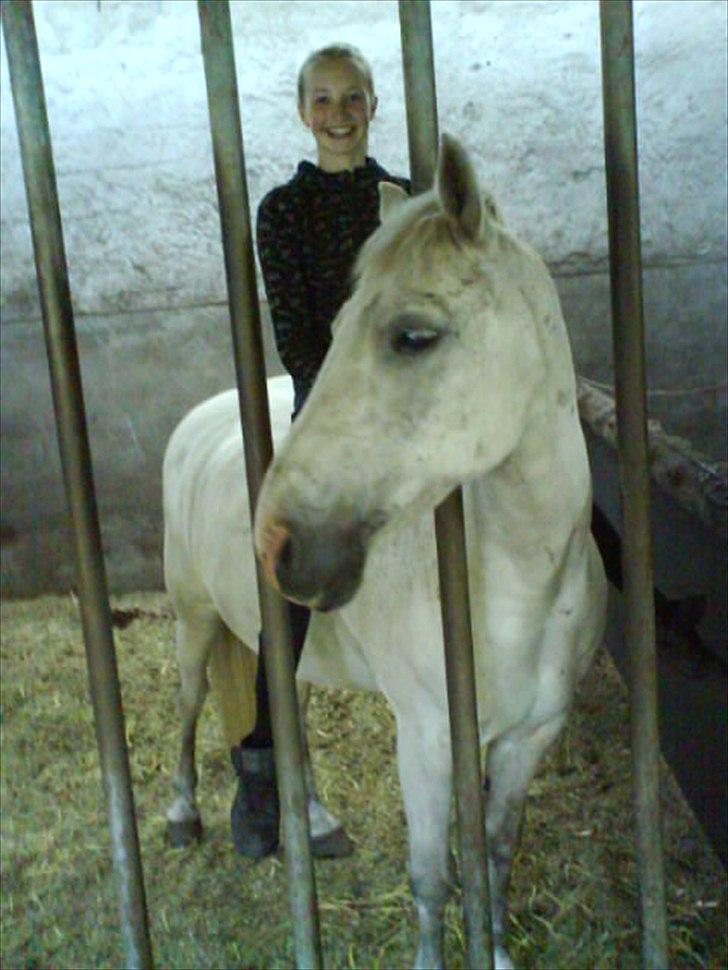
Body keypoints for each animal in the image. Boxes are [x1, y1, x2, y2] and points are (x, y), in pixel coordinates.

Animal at [163, 134, 607, 970]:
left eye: (414, 336)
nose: (276, 542)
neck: (519, 592)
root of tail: (200, 416)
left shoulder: (528, 740)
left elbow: (495, 856)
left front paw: (496, 950)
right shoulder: (428, 740)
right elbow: (431, 875)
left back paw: (313, 822)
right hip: (194, 621)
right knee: (190, 705)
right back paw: (183, 814)